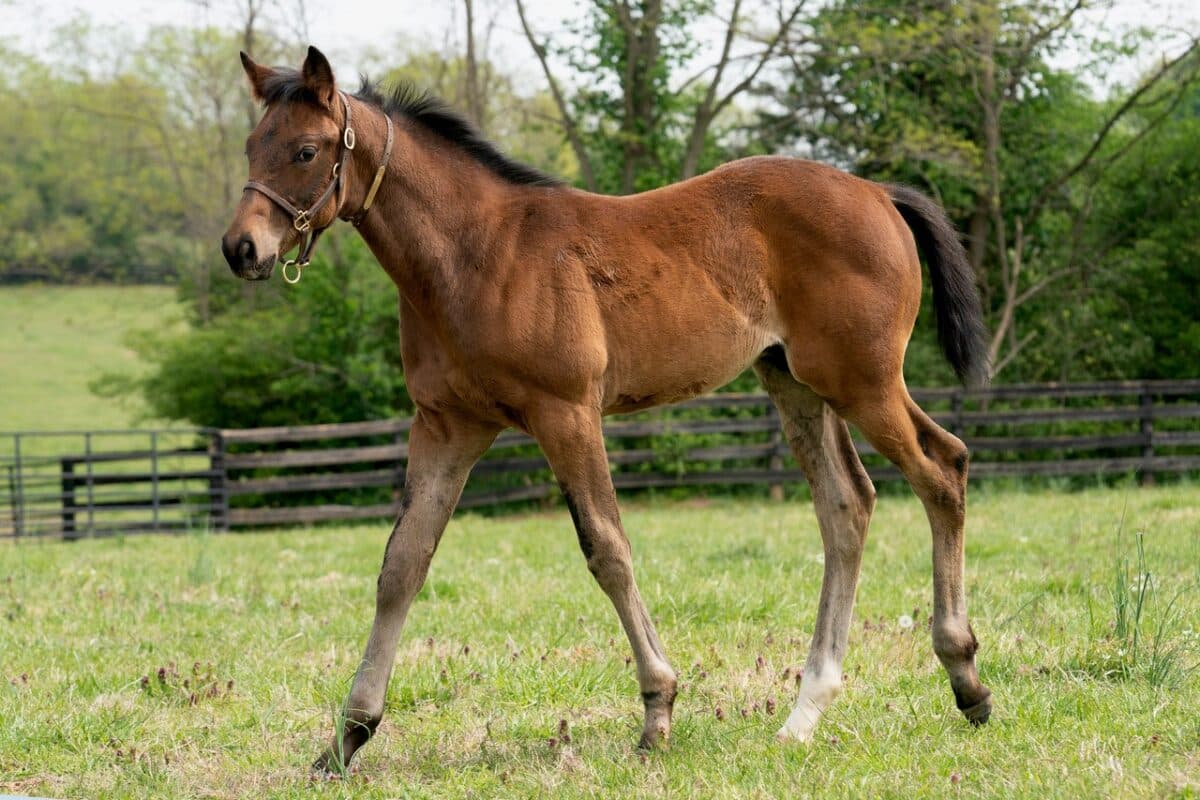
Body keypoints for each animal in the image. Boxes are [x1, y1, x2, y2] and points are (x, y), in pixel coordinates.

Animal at [223, 47, 993, 772]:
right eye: (251, 145)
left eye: (305, 150)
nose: (241, 249)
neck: (476, 254)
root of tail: (878, 192)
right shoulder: (448, 425)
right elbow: (402, 565)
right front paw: (347, 738)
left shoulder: (565, 413)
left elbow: (608, 550)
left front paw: (658, 712)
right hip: (797, 383)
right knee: (847, 505)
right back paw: (806, 712)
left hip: (862, 380)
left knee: (943, 469)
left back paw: (966, 680)